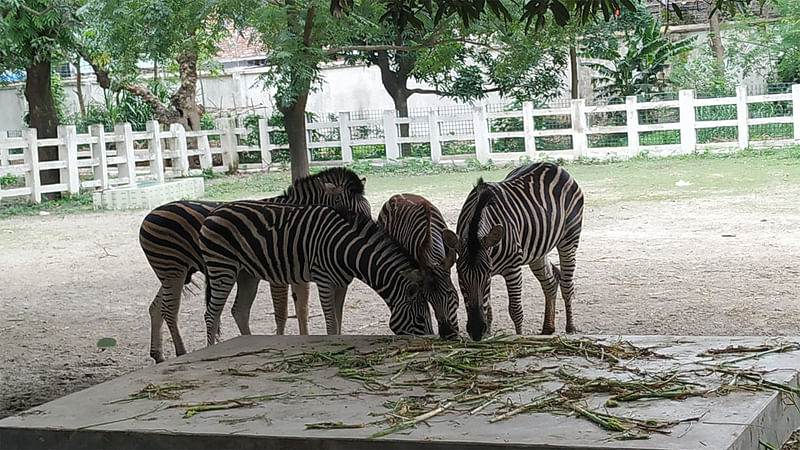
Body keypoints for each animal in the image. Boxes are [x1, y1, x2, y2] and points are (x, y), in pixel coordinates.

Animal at [139, 167, 370, 364]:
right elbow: (282, 313)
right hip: (174, 270)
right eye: (352, 213)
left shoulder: (298, 271)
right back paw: (181, 352)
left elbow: (302, 308)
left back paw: (158, 354)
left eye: (368, 209)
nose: (369, 237)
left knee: (156, 307)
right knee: (170, 309)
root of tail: (150, 214)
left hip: (175, 273)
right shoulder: (279, 273)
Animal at [440, 163, 584, 342]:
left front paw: (518, 337)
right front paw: (487, 335)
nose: (476, 330)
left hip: (569, 239)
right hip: (538, 251)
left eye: (486, 274)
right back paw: (547, 328)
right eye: (459, 275)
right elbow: (488, 311)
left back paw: (570, 327)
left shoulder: (513, 268)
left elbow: (515, 311)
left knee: (566, 284)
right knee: (550, 282)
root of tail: (553, 165)